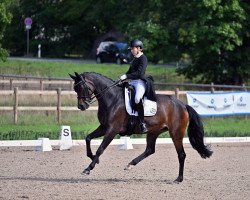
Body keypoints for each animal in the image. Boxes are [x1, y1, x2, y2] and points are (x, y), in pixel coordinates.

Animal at [69, 72, 212, 183]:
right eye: (75, 89)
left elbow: (101, 148)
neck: (112, 99)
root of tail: (183, 105)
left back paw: (179, 179)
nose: (82, 106)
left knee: (181, 154)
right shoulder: (104, 127)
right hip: (153, 132)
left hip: (176, 133)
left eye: (82, 87)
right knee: (150, 150)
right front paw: (93, 158)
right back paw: (130, 165)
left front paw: (89, 168)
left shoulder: (112, 130)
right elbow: (88, 138)